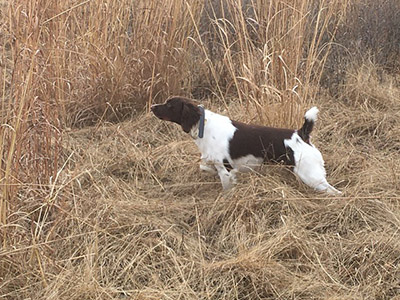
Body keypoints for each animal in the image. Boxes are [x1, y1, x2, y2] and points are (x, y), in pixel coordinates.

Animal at [152, 96, 342, 195]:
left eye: (169, 104)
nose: (152, 106)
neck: (203, 125)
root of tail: (301, 133)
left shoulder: (225, 168)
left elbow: (226, 187)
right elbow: (204, 167)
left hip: (310, 175)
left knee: (334, 192)